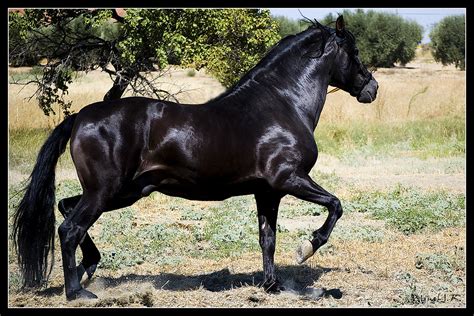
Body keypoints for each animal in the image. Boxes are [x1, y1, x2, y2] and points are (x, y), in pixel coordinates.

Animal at [12, 15, 378, 302]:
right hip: (106, 191)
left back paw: (88, 266)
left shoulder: (267, 191)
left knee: (66, 208)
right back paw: (77, 292)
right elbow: (335, 205)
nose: (372, 88)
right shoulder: (288, 178)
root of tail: (81, 117)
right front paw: (306, 249)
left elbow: (268, 239)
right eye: (354, 52)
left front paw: (272, 285)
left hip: (123, 191)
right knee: (69, 228)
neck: (283, 104)